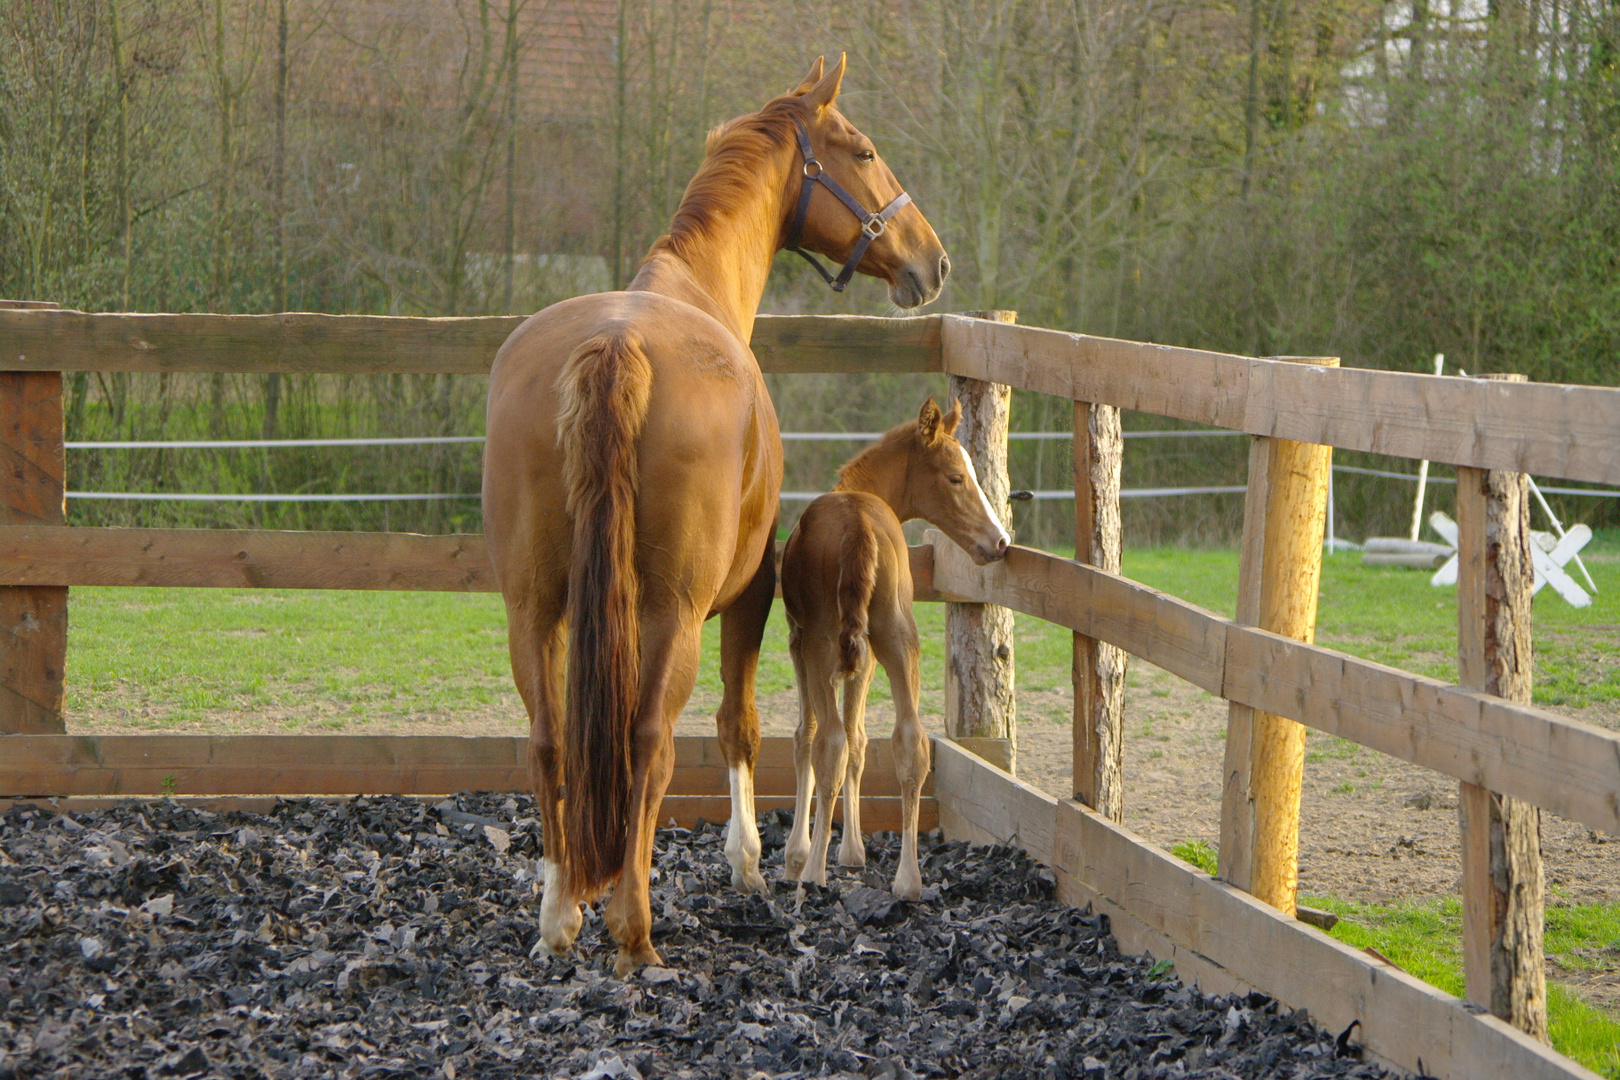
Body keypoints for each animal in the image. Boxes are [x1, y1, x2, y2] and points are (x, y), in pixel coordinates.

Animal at [777, 401, 1004, 900]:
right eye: (956, 477)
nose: (1000, 542)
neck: (859, 491)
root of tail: (860, 526)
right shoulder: (863, 656)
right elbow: (862, 741)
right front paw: (853, 851)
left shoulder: (799, 641)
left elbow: (809, 736)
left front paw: (800, 852)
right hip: (898, 638)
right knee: (910, 741)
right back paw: (908, 879)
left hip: (823, 644)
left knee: (829, 742)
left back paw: (814, 872)